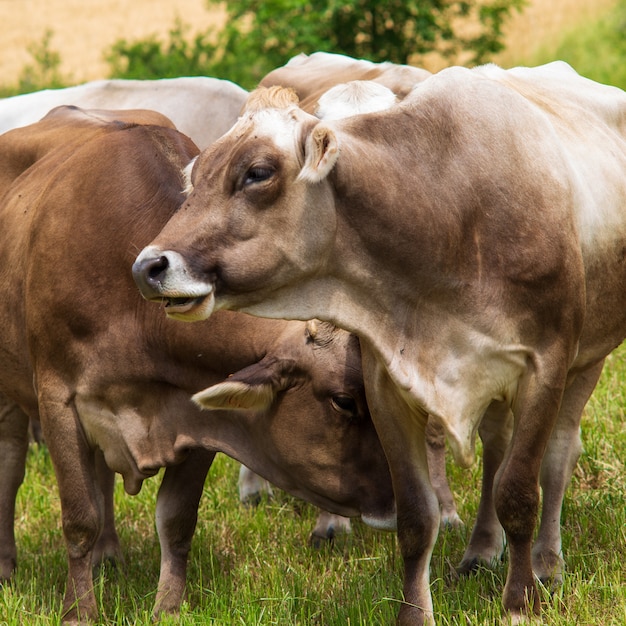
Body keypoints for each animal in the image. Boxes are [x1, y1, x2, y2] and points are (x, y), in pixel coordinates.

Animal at [0, 107, 392, 620]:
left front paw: (167, 607)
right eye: (344, 401)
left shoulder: (199, 413)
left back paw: (110, 557)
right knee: (10, 466)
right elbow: (80, 517)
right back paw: (7, 565)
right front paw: (79, 613)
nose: (398, 500)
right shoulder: (57, 399)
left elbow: (177, 520)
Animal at [130, 61, 624, 620]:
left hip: (587, 360)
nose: (148, 266)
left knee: (558, 457)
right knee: (496, 447)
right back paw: (481, 548)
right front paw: (415, 613)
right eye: (195, 176)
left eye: (257, 173)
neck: (448, 216)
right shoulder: (388, 382)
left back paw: (546, 562)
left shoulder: (545, 365)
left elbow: (519, 491)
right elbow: (415, 516)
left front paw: (521, 602)